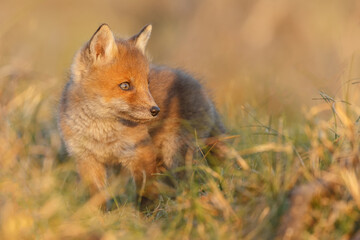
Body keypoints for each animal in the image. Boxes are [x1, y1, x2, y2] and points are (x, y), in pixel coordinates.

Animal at [58, 23, 239, 205]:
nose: (155, 110)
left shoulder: (142, 152)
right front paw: (98, 212)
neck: (101, 134)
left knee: (187, 183)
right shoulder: (86, 159)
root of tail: (203, 91)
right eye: (125, 85)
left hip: (175, 154)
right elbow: (97, 196)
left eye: (147, 83)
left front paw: (147, 211)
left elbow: (146, 191)